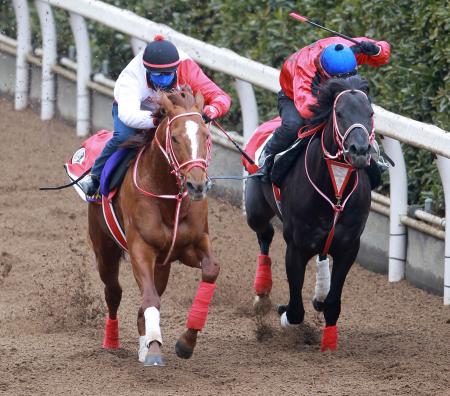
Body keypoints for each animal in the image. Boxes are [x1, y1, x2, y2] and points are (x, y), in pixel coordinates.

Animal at [88, 86, 218, 366]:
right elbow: (149, 298)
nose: (197, 185)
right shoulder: (141, 248)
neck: (169, 199)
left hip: (162, 265)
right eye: (176, 138)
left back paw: (143, 344)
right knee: (113, 291)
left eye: (205, 135)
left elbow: (211, 270)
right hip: (104, 249)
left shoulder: (192, 244)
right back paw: (112, 341)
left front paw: (185, 342)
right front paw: (155, 349)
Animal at [246, 76, 372, 352]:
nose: (359, 150)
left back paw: (319, 294)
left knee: (321, 255)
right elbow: (295, 311)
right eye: (339, 113)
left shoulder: (349, 247)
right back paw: (262, 293)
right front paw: (284, 312)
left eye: (370, 113)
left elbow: (333, 304)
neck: (335, 193)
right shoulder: (296, 247)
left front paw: (329, 342)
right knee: (265, 234)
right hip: (255, 210)